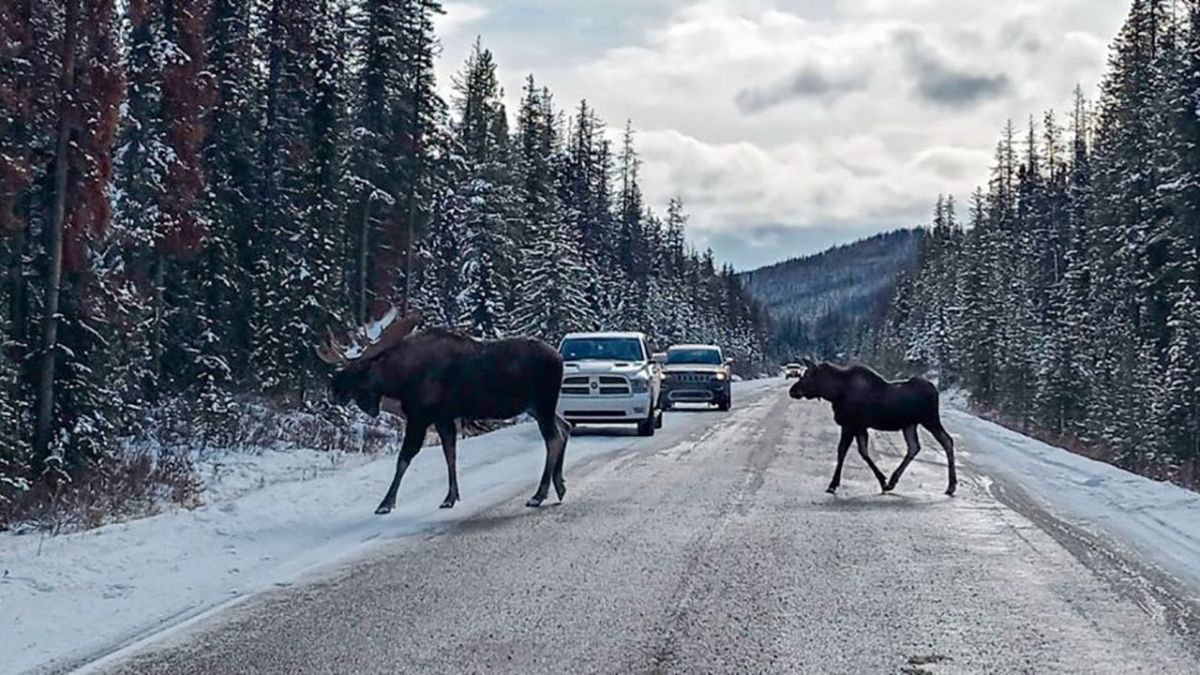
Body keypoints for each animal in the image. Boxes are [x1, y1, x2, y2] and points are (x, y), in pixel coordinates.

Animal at [319, 307, 571, 511]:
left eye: (359, 369)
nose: (332, 389)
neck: (399, 382)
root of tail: (559, 358)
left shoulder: (419, 417)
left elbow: (404, 458)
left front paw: (386, 503)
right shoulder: (443, 418)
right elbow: (450, 453)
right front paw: (450, 497)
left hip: (542, 403)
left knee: (553, 438)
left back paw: (539, 494)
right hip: (537, 407)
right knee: (565, 427)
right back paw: (559, 485)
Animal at [787, 357, 955, 494]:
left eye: (807, 375)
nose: (792, 390)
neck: (834, 393)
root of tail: (935, 390)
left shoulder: (849, 425)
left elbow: (842, 452)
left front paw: (833, 485)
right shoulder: (860, 427)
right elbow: (864, 452)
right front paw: (883, 481)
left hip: (930, 419)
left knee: (946, 440)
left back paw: (951, 486)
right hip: (909, 424)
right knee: (914, 447)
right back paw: (893, 481)